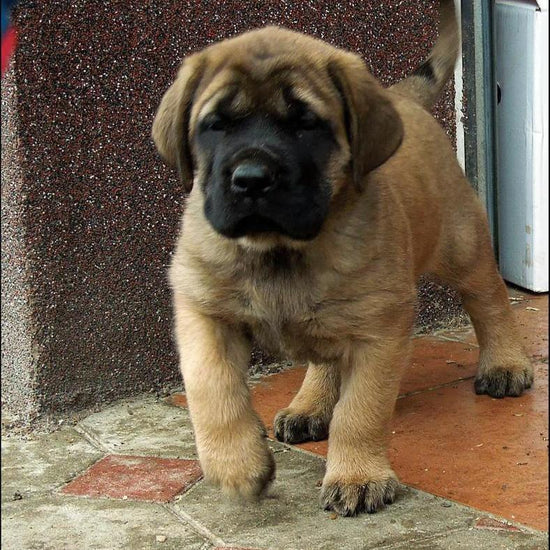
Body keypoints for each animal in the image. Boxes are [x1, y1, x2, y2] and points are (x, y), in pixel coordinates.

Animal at [152, 0, 536, 516]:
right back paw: (310, 405)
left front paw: (357, 475)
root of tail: (402, 97)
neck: (280, 251)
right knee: (325, 356)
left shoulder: (379, 330)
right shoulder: (202, 309)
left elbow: (361, 411)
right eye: (215, 125)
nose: (251, 179)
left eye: (305, 124)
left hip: (460, 243)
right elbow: (211, 389)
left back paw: (504, 364)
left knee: (489, 297)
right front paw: (236, 465)